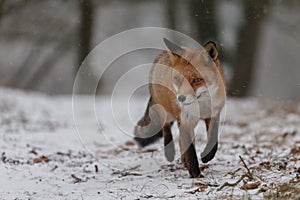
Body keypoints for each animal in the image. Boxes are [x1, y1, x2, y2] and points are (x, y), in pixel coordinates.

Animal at [134, 38, 225, 177]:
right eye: (177, 79)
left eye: (197, 80)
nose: (181, 98)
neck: (200, 105)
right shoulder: (185, 120)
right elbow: (190, 150)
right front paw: (195, 173)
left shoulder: (214, 115)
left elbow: (213, 140)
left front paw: (206, 156)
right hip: (167, 113)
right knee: (166, 128)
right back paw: (170, 152)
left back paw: (183, 160)